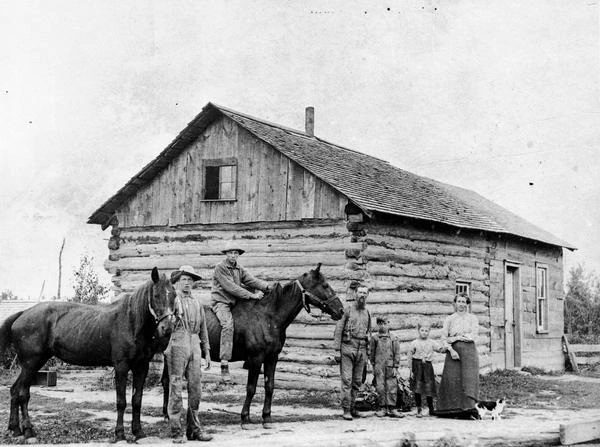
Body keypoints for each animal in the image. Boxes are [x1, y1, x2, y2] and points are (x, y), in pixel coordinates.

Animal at [0, 268, 177, 442]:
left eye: (174, 295)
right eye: (156, 295)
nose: (167, 328)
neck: (131, 321)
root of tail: (22, 314)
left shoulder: (141, 367)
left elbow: (137, 400)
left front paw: (138, 432)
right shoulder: (121, 367)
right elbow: (121, 401)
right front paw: (120, 434)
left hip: (33, 364)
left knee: (15, 391)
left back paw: (15, 429)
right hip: (30, 364)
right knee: (22, 394)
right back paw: (28, 430)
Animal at [162, 264, 344, 428]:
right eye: (325, 285)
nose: (341, 310)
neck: (268, 318)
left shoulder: (272, 358)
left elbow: (269, 386)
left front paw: (267, 417)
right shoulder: (256, 359)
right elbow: (251, 388)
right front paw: (245, 418)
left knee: (166, 381)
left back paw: (166, 414)